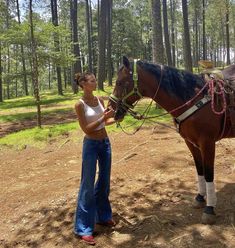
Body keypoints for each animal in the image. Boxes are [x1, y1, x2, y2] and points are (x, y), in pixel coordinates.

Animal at [109, 55, 235, 225]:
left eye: (120, 82)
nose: (110, 108)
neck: (192, 98)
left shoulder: (207, 143)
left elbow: (209, 173)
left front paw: (209, 209)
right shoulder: (191, 143)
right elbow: (199, 169)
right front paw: (200, 198)